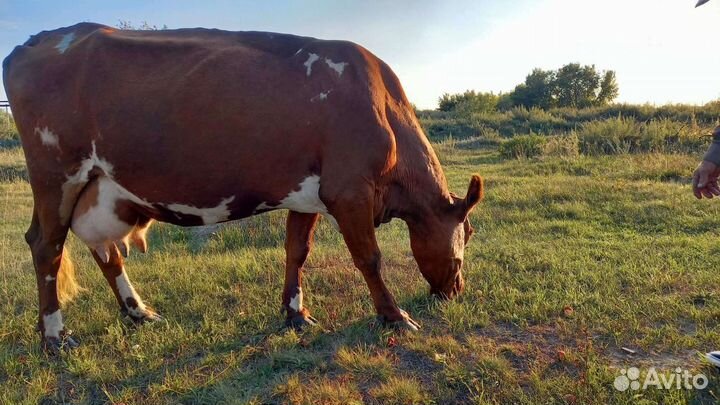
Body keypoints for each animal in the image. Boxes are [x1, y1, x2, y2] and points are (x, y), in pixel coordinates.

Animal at [3, 23, 484, 352]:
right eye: (470, 232)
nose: (456, 291)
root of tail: (38, 40)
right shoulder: (349, 190)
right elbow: (369, 258)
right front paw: (395, 316)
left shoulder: (307, 193)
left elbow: (297, 250)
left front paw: (295, 313)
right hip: (56, 173)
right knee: (47, 246)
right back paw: (55, 337)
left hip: (99, 188)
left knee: (103, 250)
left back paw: (138, 313)